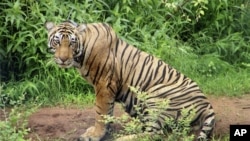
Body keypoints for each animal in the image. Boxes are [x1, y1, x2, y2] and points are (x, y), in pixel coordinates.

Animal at [44, 20, 215, 140]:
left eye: (72, 43)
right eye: (57, 41)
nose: (63, 59)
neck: (81, 55)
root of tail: (207, 105)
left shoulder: (104, 84)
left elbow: (100, 112)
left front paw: (95, 135)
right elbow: (108, 111)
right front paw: (105, 131)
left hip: (155, 96)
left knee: (154, 134)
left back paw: (122, 139)